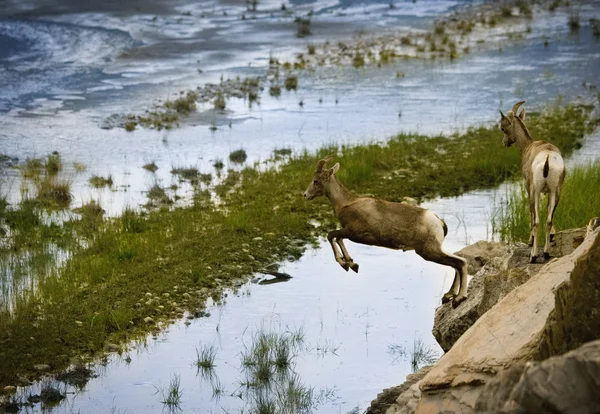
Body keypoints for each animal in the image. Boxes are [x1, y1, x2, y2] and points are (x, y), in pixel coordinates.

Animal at [304, 157, 468, 306]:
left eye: (316, 181)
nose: (305, 195)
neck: (346, 203)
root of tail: (438, 221)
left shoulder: (352, 233)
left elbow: (331, 235)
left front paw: (345, 265)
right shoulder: (348, 233)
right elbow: (337, 239)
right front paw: (352, 264)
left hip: (429, 252)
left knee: (460, 262)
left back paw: (459, 298)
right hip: (434, 250)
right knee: (458, 260)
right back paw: (449, 296)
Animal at [500, 100, 564, 262]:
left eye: (503, 128)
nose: (505, 143)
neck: (528, 146)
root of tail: (548, 158)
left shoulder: (529, 188)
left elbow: (531, 213)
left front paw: (530, 242)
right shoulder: (547, 192)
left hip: (535, 190)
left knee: (536, 221)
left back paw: (533, 256)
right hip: (556, 191)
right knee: (548, 220)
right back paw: (546, 253)